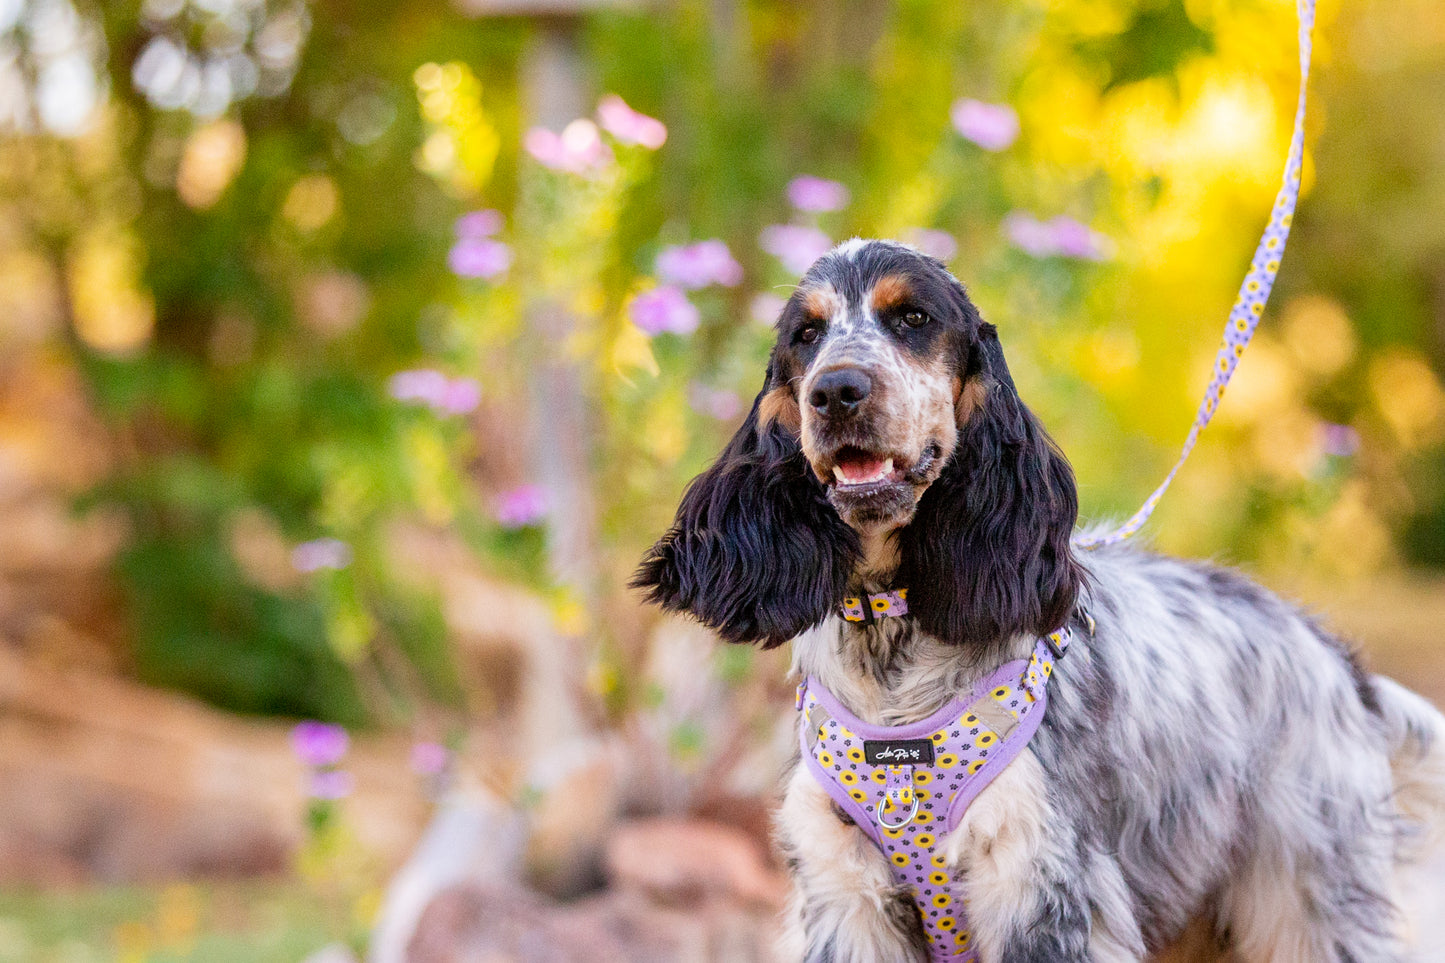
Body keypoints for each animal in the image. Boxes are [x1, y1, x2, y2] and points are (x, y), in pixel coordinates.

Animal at [638, 238, 1445, 960]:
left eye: (913, 319)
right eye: (804, 336)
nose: (835, 391)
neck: (892, 641)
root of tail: (1336, 659)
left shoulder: (1044, 891)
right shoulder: (846, 898)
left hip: (1313, 899)